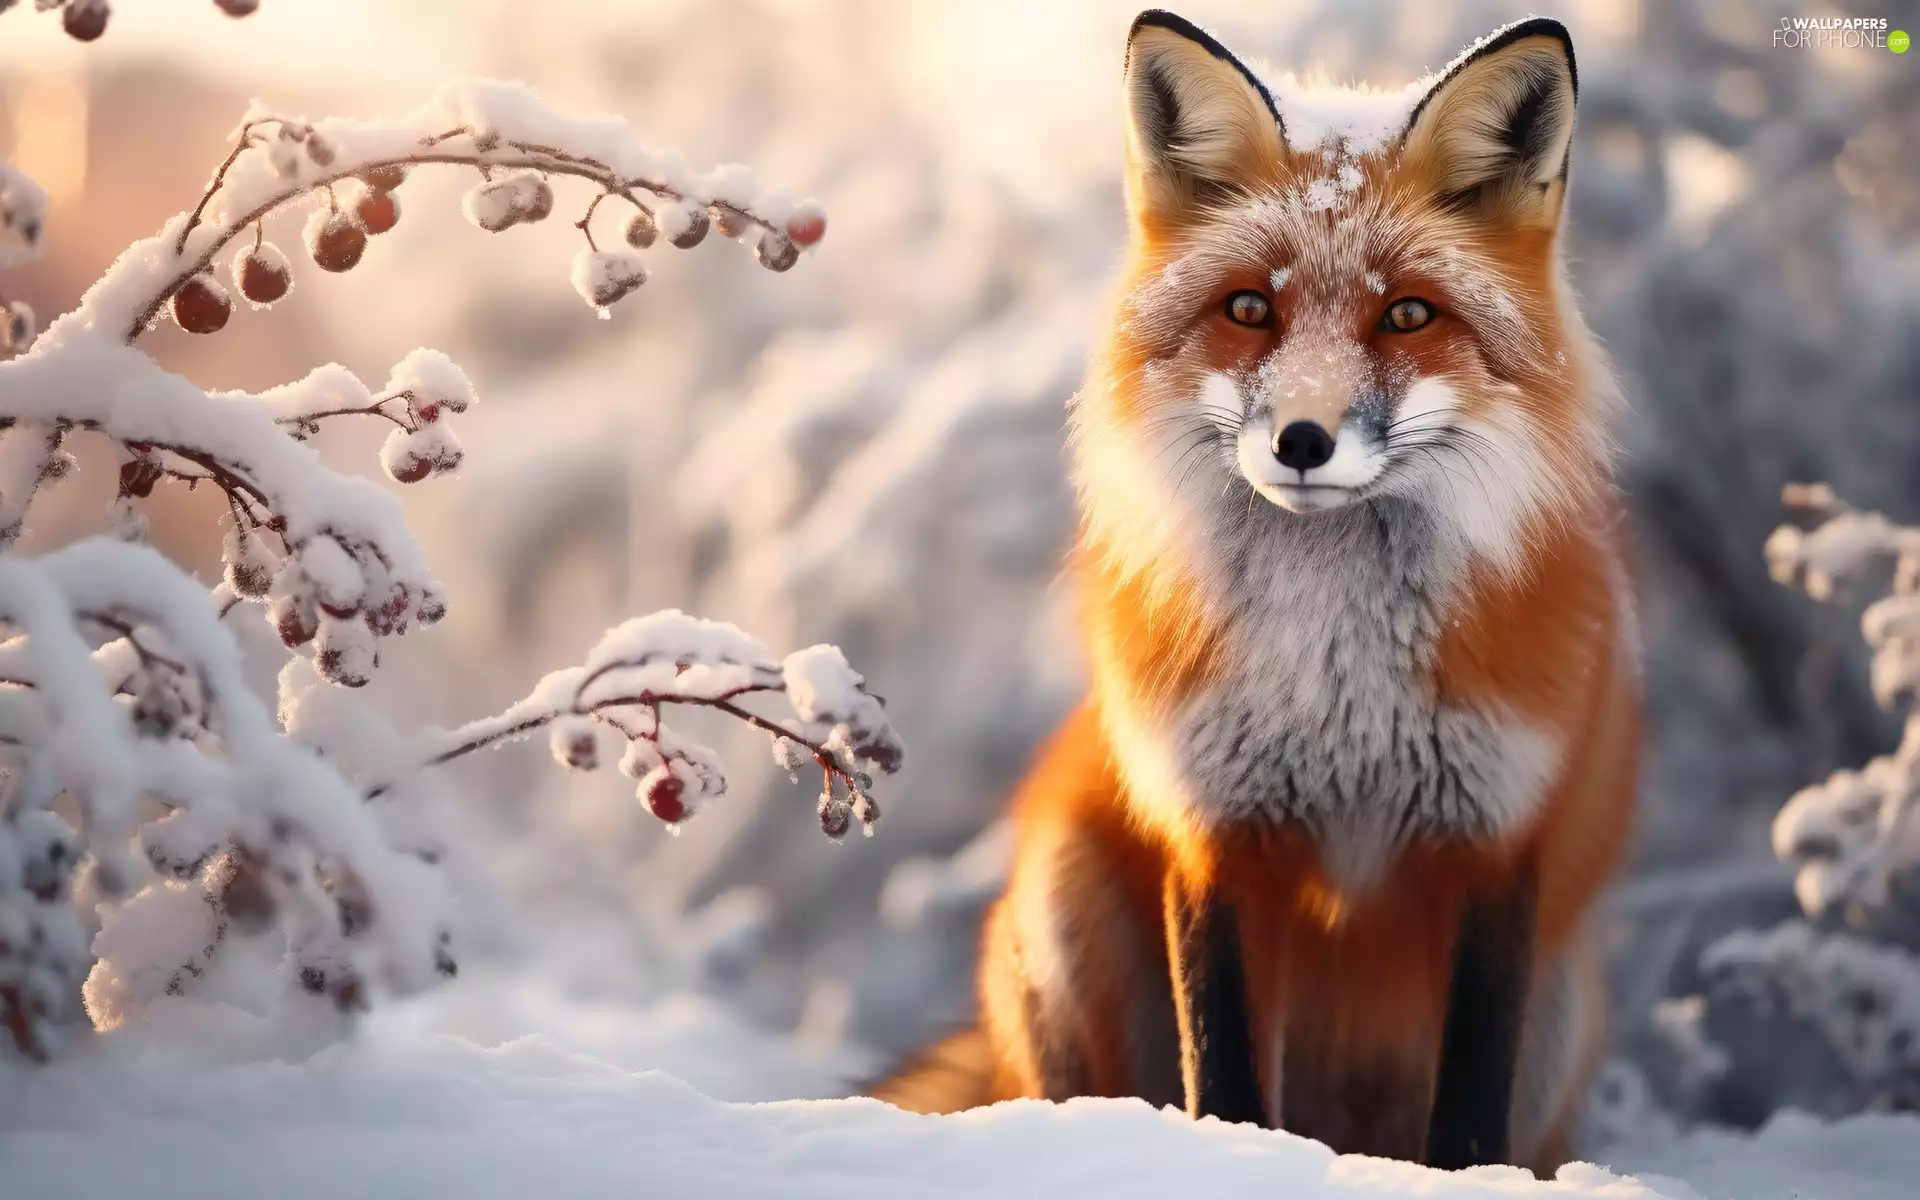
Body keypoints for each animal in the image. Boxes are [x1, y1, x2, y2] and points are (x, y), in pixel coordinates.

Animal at [875, 8, 1639, 1176]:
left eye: (1406, 315)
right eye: (1249, 308)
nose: (1304, 440)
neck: (1340, 691)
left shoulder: (1496, 845)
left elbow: (1467, 1116)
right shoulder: (1220, 834)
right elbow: (1224, 1076)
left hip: (1564, 1006)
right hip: (1059, 908)